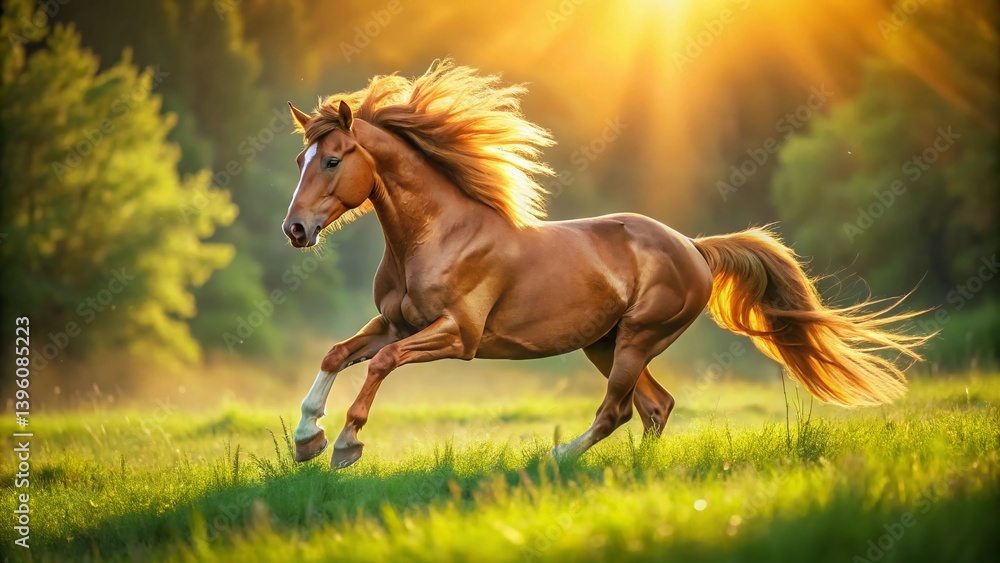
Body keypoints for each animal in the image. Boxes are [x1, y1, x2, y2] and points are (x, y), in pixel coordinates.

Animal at [281, 60, 930, 469]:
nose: (295, 229)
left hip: (638, 338)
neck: (435, 236)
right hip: (606, 343)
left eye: (334, 159)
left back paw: (555, 458)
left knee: (618, 409)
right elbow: (338, 353)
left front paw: (346, 446)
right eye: (301, 158)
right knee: (654, 407)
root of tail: (693, 246)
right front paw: (307, 437)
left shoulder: (455, 335)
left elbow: (380, 363)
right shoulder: (397, 323)